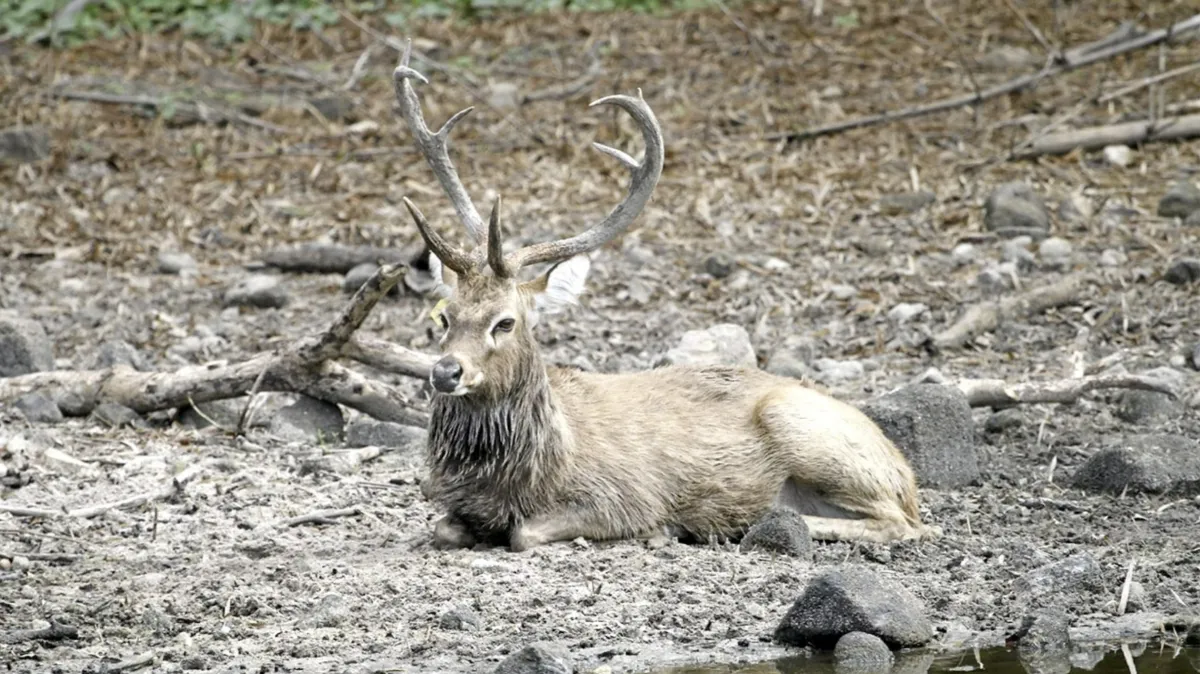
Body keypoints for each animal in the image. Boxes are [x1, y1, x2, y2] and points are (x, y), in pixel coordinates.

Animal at [388, 41, 940, 549]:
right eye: (444, 317)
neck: (529, 472)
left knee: (905, 524)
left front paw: (665, 524)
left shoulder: (622, 496)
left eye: (505, 322)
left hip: (804, 428)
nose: (446, 371)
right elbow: (443, 528)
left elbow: (526, 533)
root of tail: (906, 473)